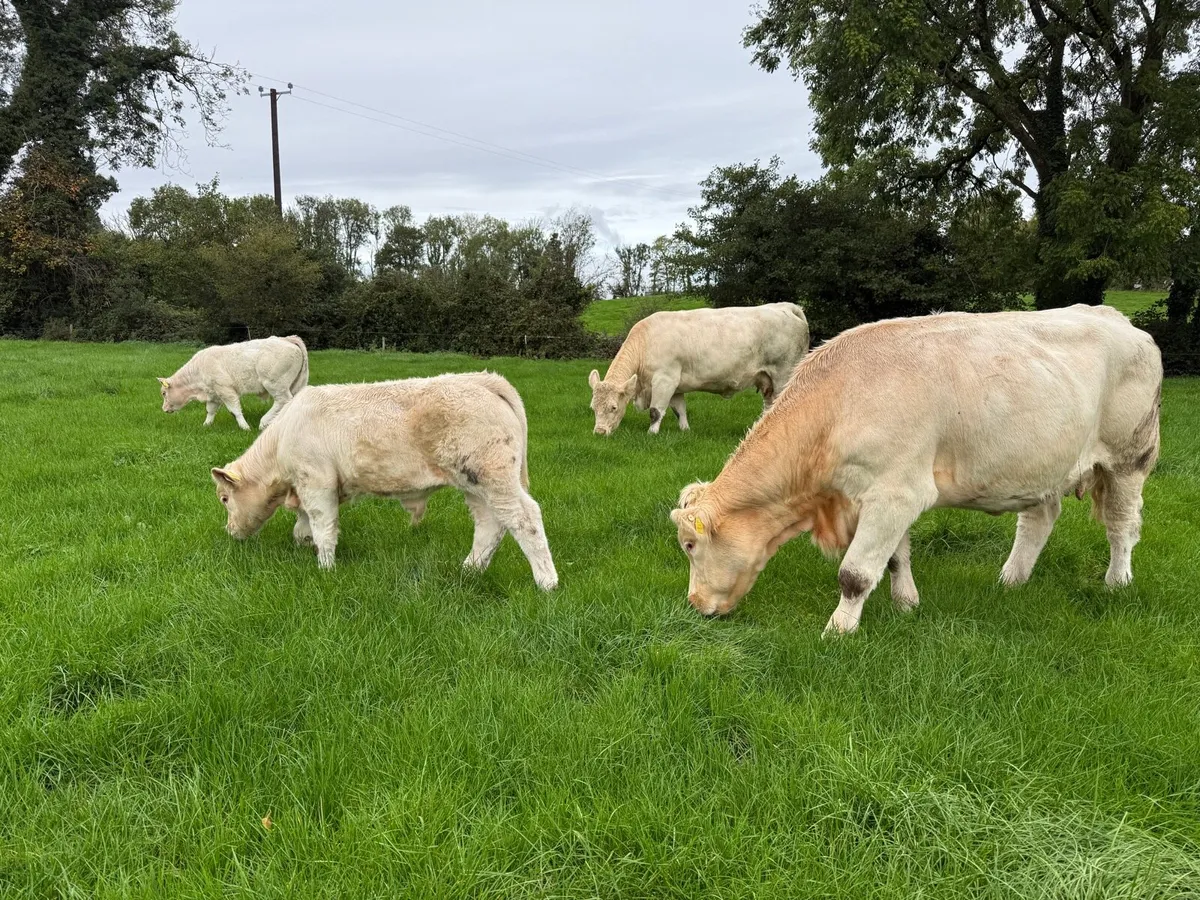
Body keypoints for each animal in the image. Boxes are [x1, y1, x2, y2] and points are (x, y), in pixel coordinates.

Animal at [159, 335, 309, 430]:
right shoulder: (214, 394)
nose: (164, 409)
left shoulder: (226, 390)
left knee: (283, 400)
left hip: (275, 384)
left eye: (164, 393)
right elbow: (210, 411)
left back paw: (264, 422)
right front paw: (205, 425)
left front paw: (245, 427)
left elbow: (235, 410)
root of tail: (287, 339)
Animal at [210, 371, 559, 590]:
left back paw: (546, 583)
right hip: (473, 483)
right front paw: (305, 544)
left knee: (525, 518)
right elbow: (304, 524)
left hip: (493, 476)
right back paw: (469, 570)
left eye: (225, 499)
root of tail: (483, 380)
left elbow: (323, 526)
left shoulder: (317, 482)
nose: (230, 532)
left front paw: (326, 567)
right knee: (490, 524)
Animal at [588, 303, 810, 435]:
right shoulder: (675, 385)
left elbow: (656, 411)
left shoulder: (664, 380)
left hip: (784, 374)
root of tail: (785, 306)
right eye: (593, 407)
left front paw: (651, 433)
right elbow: (679, 410)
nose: (599, 432)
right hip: (768, 379)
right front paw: (685, 430)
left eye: (613, 407)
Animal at [670, 305, 1163, 635]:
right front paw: (907, 603)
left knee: (1122, 525)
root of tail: (1118, 319)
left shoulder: (896, 493)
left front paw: (838, 630)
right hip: (1041, 466)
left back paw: (1116, 582)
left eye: (690, 545)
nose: (695, 605)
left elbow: (855, 573)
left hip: (1129, 458)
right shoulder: (884, 494)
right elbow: (894, 557)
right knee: (1039, 520)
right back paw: (1011, 581)